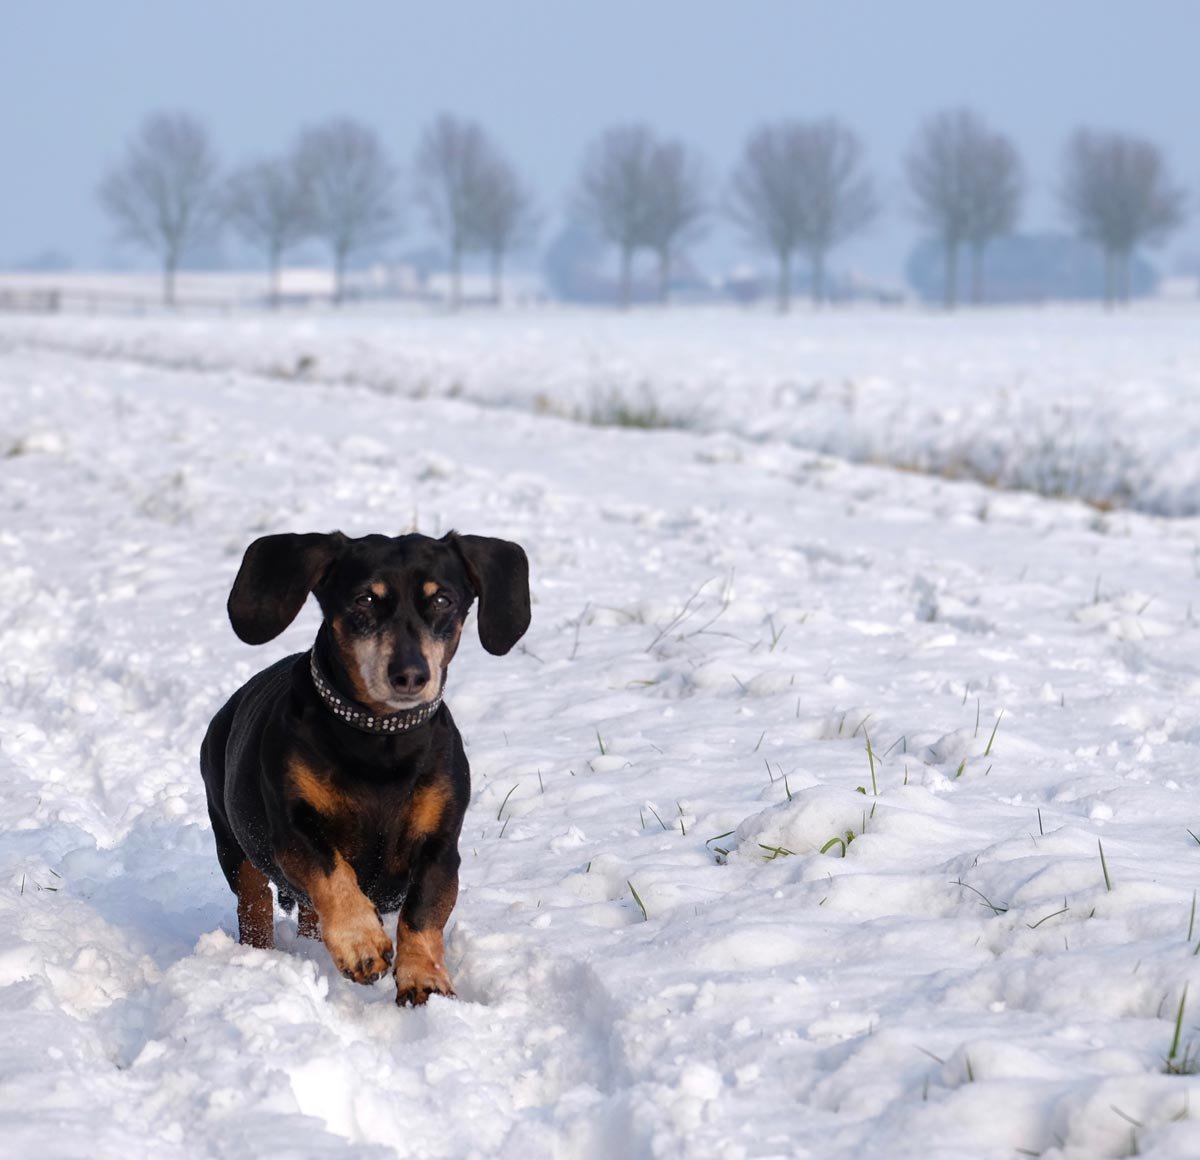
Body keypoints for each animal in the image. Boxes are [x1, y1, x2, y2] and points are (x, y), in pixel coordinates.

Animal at [200, 530, 530, 1002]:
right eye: (364, 600)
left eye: (443, 600)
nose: (410, 674)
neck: (382, 741)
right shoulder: (295, 832)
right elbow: (333, 873)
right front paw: (361, 945)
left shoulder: (441, 846)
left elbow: (422, 910)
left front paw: (424, 977)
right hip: (234, 846)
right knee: (255, 906)